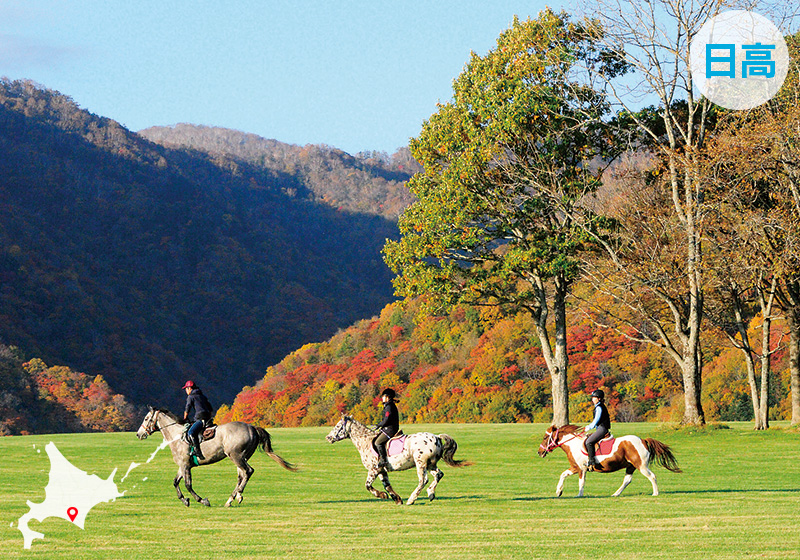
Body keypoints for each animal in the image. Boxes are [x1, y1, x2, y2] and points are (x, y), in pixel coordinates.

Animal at [136, 406, 298, 508]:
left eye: (146, 418)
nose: (139, 434)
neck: (177, 436)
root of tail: (252, 427)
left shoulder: (186, 466)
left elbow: (188, 485)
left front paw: (202, 500)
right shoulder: (182, 466)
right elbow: (176, 482)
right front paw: (185, 500)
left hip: (236, 456)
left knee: (248, 472)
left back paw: (237, 495)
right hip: (241, 457)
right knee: (242, 475)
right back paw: (232, 498)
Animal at [324, 414, 472, 506]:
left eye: (338, 426)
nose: (328, 438)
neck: (365, 441)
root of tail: (436, 437)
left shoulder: (374, 469)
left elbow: (368, 485)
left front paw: (382, 495)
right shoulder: (382, 471)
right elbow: (387, 485)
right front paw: (396, 499)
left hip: (421, 463)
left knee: (423, 480)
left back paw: (411, 499)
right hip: (431, 464)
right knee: (439, 474)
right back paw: (430, 493)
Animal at [536, 424, 680, 498]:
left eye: (545, 437)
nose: (539, 452)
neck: (573, 444)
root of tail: (643, 440)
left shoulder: (581, 469)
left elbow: (581, 482)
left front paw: (579, 495)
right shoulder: (575, 467)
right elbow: (563, 475)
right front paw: (559, 491)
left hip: (641, 466)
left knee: (652, 476)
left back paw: (655, 493)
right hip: (630, 466)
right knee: (627, 480)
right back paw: (616, 494)